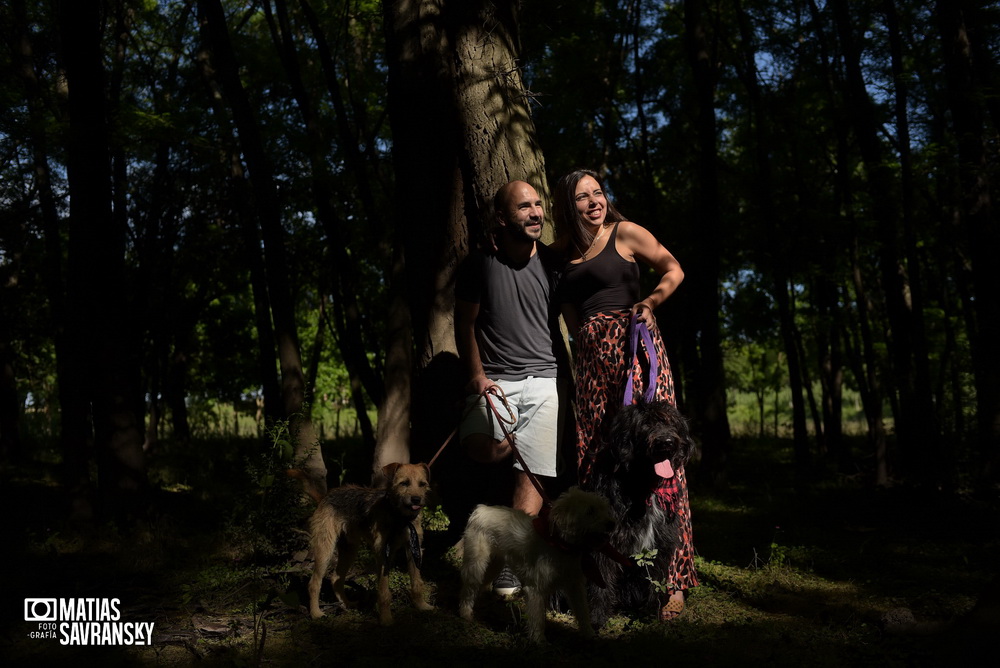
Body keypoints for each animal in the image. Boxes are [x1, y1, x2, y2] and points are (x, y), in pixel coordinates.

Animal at [306, 462, 436, 624]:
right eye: (404, 483)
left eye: (422, 484)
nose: (416, 499)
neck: (399, 516)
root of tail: (325, 497)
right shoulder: (382, 554)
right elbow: (384, 591)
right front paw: (386, 619)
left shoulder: (413, 549)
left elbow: (417, 582)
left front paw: (422, 606)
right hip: (325, 550)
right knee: (314, 583)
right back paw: (316, 613)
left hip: (349, 550)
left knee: (336, 578)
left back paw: (347, 604)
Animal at [458, 486, 612, 640]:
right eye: (590, 511)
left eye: (604, 508)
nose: (612, 524)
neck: (561, 545)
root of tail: (482, 509)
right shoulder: (535, 589)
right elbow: (537, 618)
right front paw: (538, 640)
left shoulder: (575, 586)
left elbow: (583, 612)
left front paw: (589, 634)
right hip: (476, 564)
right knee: (469, 588)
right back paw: (465, 613)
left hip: (494, 565)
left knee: (481, 585)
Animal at [584, 402, 696, 628]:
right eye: (645, 424)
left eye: (671, 423)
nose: (667, 441)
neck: (641, 484)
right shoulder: (603, 543)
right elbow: (600, 580)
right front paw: (597, 618)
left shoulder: (660, 544)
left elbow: (655, 580)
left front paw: (652, 614)